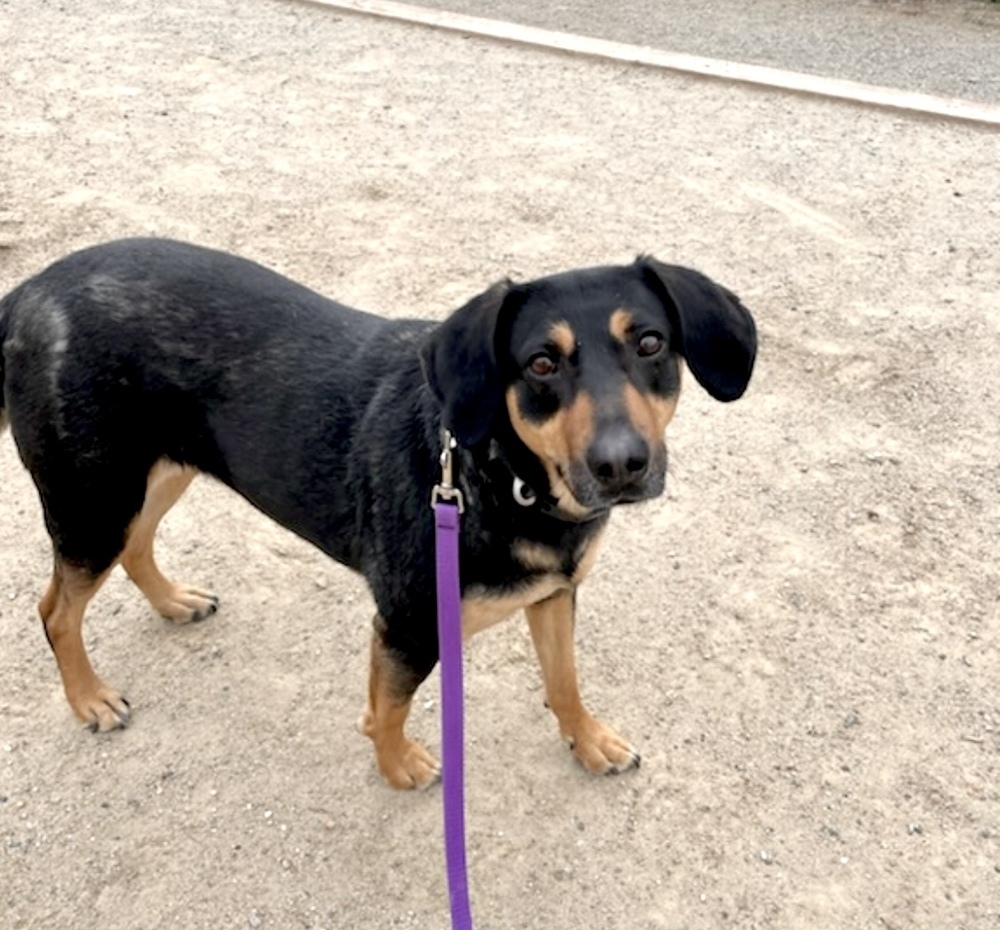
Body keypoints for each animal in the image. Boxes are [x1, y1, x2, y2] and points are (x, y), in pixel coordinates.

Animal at [0, 237, 752, 784]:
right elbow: (387, 709)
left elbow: (564, 680)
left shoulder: (554, 594)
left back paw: (172, 601)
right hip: (94, 497)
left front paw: (589, 740)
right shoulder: (410, 628)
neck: (500, 477)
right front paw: (397, 766)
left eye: (650, 343)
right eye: (541, 363)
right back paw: (90, 699)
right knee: (56, 609)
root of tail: (28, 293)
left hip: (153, 474)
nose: (621, 464)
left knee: (136, 545)